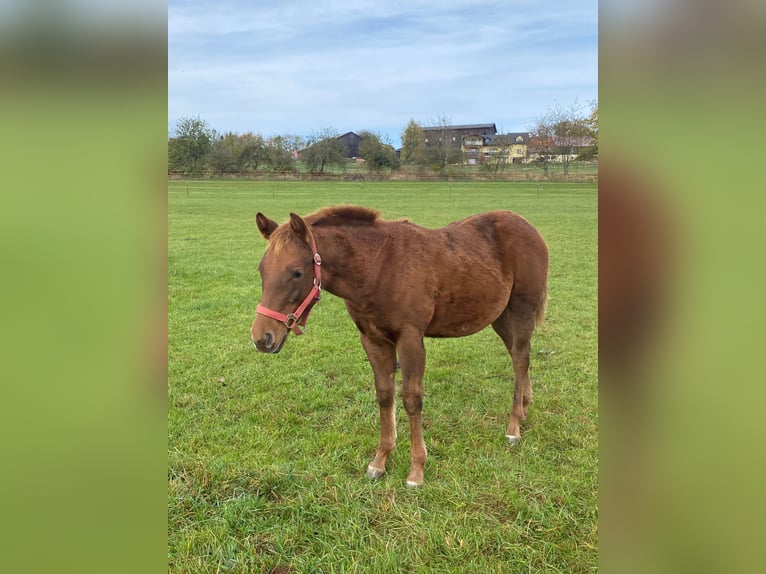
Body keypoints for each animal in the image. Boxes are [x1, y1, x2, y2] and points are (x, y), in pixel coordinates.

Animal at [255, 205, 548, 488]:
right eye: (261, 270)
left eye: (297, 272)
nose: (262, 338)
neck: (378, 266)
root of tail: (531, 229)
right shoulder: (372, 339)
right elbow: (385, 395)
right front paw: (380, 461)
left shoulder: (410, 338)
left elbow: (411, 398)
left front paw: (416, 470)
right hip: (499, 316)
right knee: (518, 357)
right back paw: (525, 405)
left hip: (521, 309)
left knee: (520, 358)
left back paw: (513, 426)